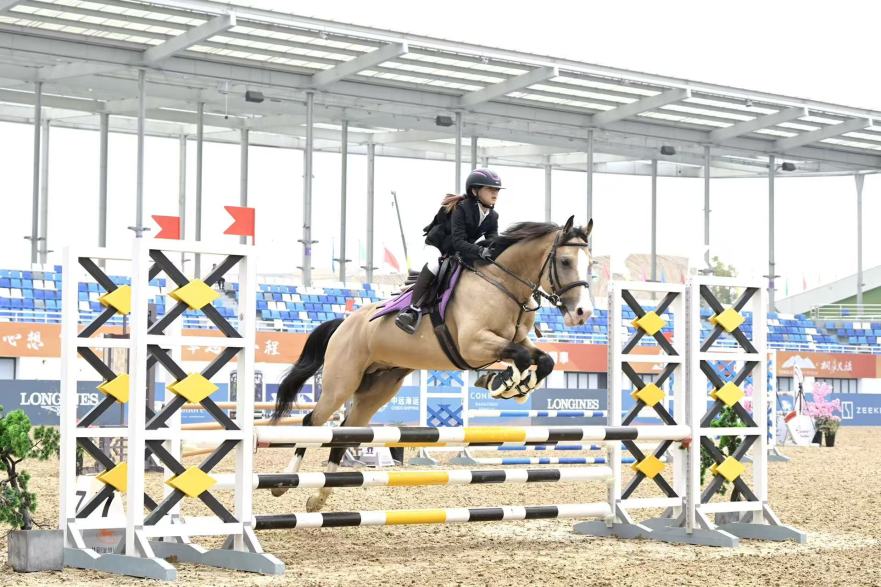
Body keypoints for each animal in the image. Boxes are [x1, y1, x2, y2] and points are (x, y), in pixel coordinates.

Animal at [270, 215, 594, 511]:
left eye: (590, 264)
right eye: (565, 261)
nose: (583, 313)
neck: (502, 285)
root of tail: (344, 323)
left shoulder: (515, 341)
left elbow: (543, 360)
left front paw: (513, 385)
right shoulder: (473, 345)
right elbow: (523, 358)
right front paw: (504, 383)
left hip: (378, 389)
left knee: (344, 433)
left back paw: (318, 498)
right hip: (341, 383)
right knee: (312, 422)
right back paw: (283, 485)